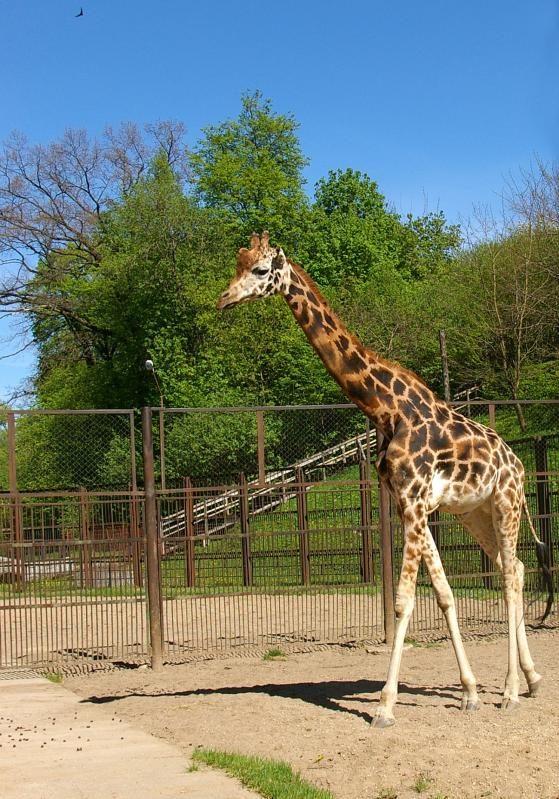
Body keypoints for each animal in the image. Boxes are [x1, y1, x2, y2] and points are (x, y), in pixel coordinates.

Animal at [217, 233, 552, 732]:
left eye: (260, 270)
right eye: (237, 263)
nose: (223, 299)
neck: (382, 407)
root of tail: (518, 461)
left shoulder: (413, 502)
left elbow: (403, 601)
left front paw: (385, 706)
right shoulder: (407, 504)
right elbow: (444, 594)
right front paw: (470, 692)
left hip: (507, 503)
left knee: (512, 575)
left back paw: (510, 691)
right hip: (475, 514)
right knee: (517, 567)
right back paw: (531, 680)